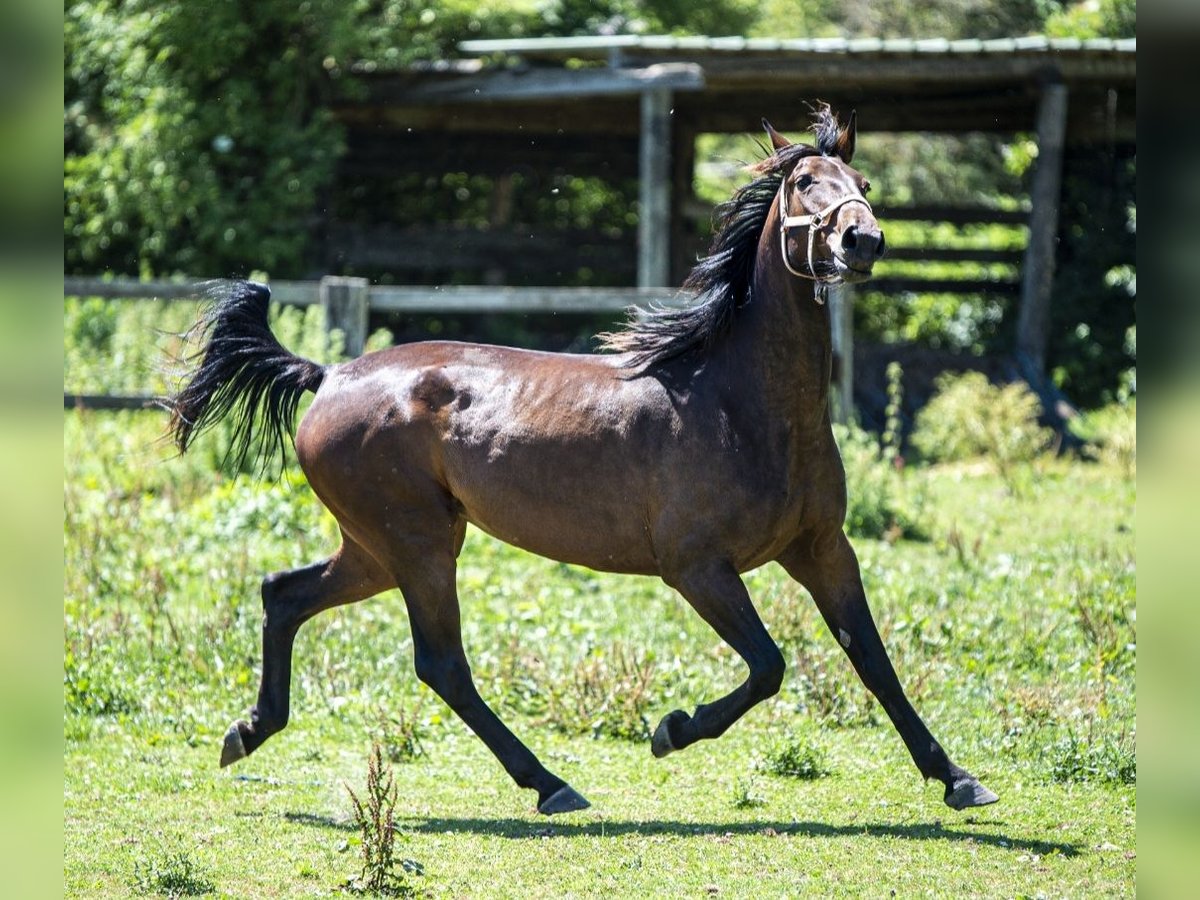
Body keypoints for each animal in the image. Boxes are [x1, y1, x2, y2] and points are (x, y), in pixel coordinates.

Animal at [169, 105, 993, 816]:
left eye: (864, 185)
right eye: (803, 184)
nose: (862, 241)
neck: (741, 405)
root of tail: (328, 374)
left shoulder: (823, 549)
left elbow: (872, 660)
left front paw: (958, 778)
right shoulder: (697, 567)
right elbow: (769, 666)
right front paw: (671, 729)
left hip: (378, 547)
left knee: (285, 595)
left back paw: (248, 732)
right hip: (417, 544)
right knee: (442, 663)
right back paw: (551, 785)